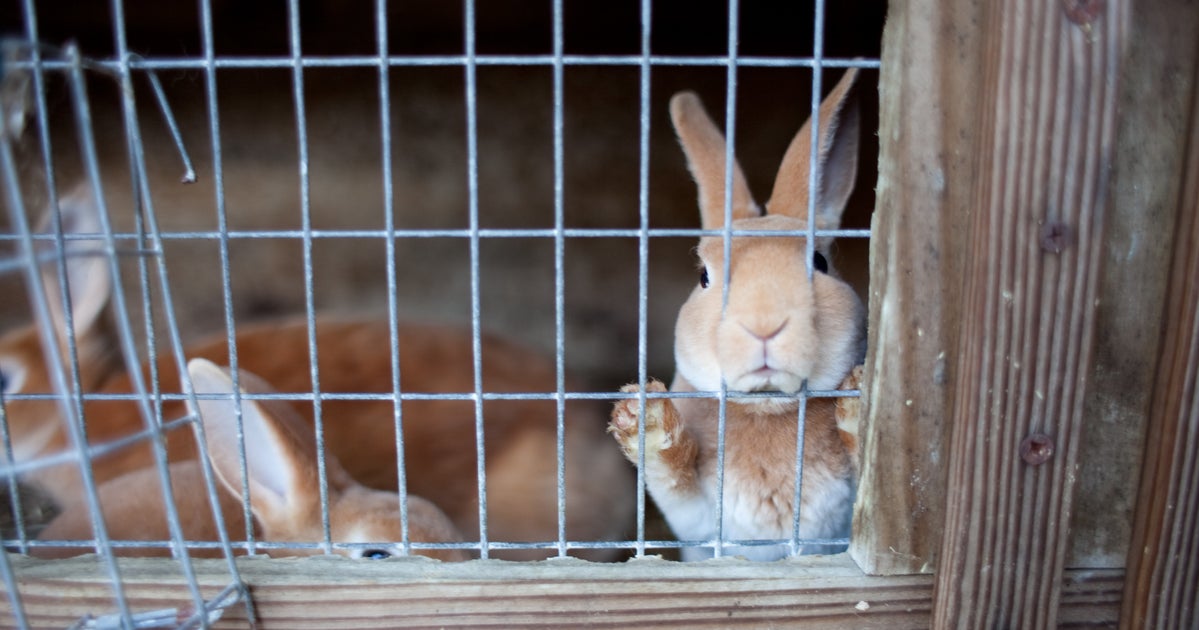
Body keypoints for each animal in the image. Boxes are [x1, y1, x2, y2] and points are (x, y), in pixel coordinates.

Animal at [613, 68, 868, 559]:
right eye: (704, 277)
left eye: (820, 262)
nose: (764, 325)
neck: (766, 408)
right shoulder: (694, 517)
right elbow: (672, 475)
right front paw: (644, 418)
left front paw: (858, 401)